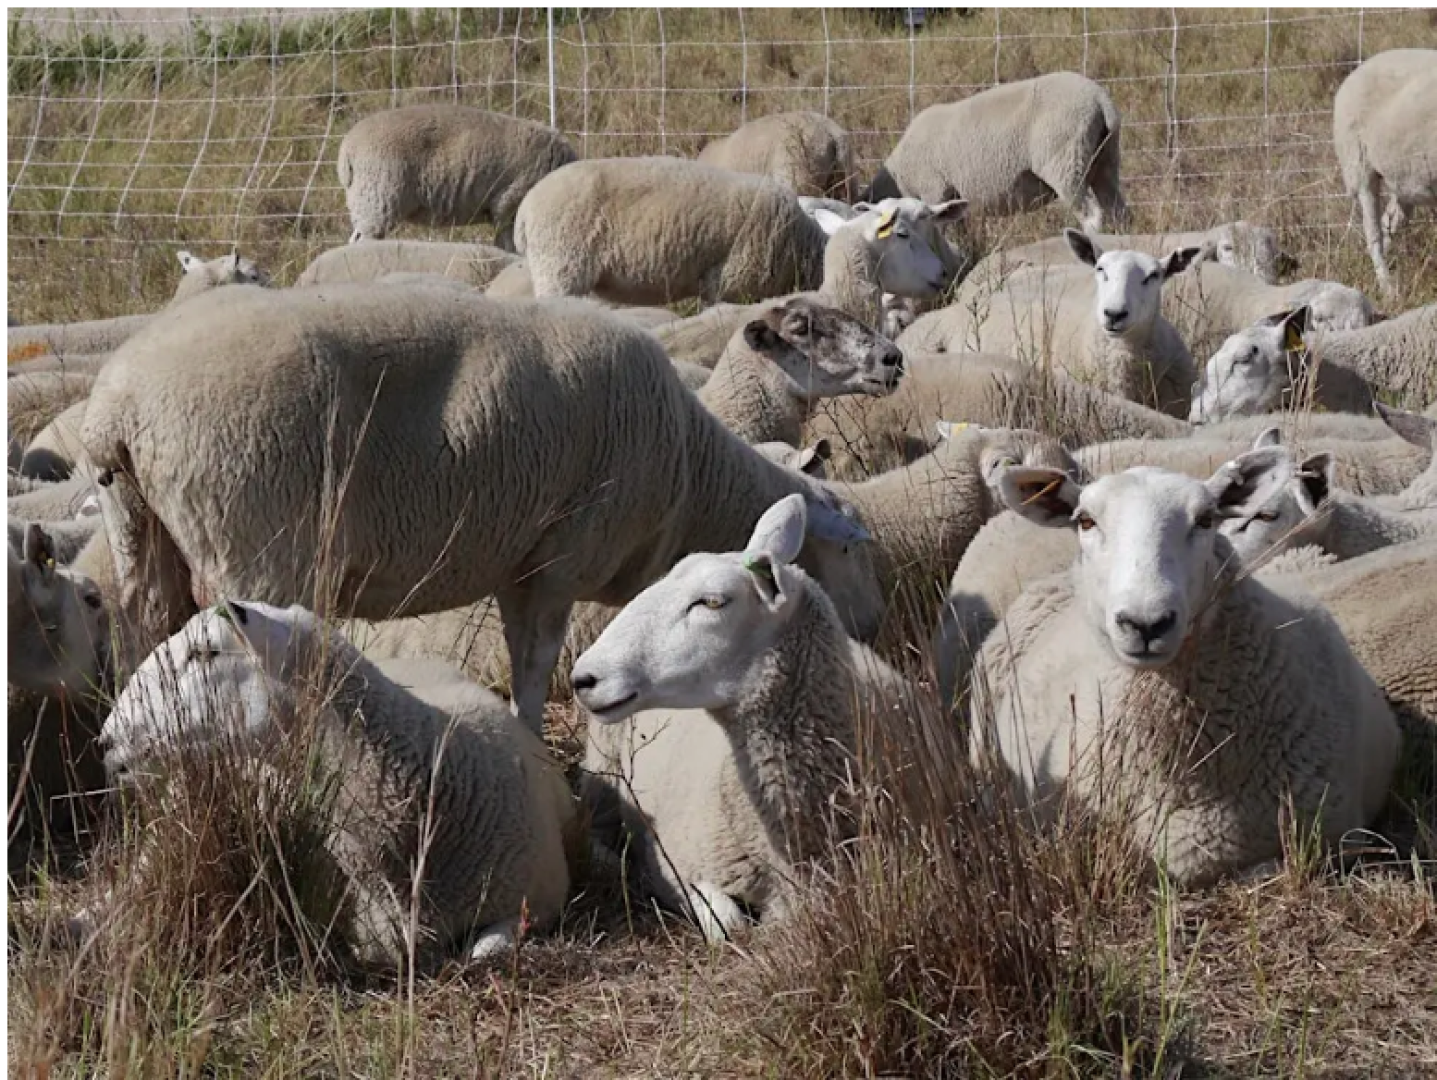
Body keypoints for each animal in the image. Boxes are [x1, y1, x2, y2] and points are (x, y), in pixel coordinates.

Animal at [337, 104, 576, 250]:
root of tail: (347, 150)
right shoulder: (508, 204)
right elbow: (511, 246)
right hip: (378, 198)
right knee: (362, 241)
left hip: (366, 200)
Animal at [867, 72, 1129, 232]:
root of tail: (1100, 99)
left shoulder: (934, 190)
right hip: (1104, 159)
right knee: (1119, 210)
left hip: (1064, 157)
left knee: (1092, 215)